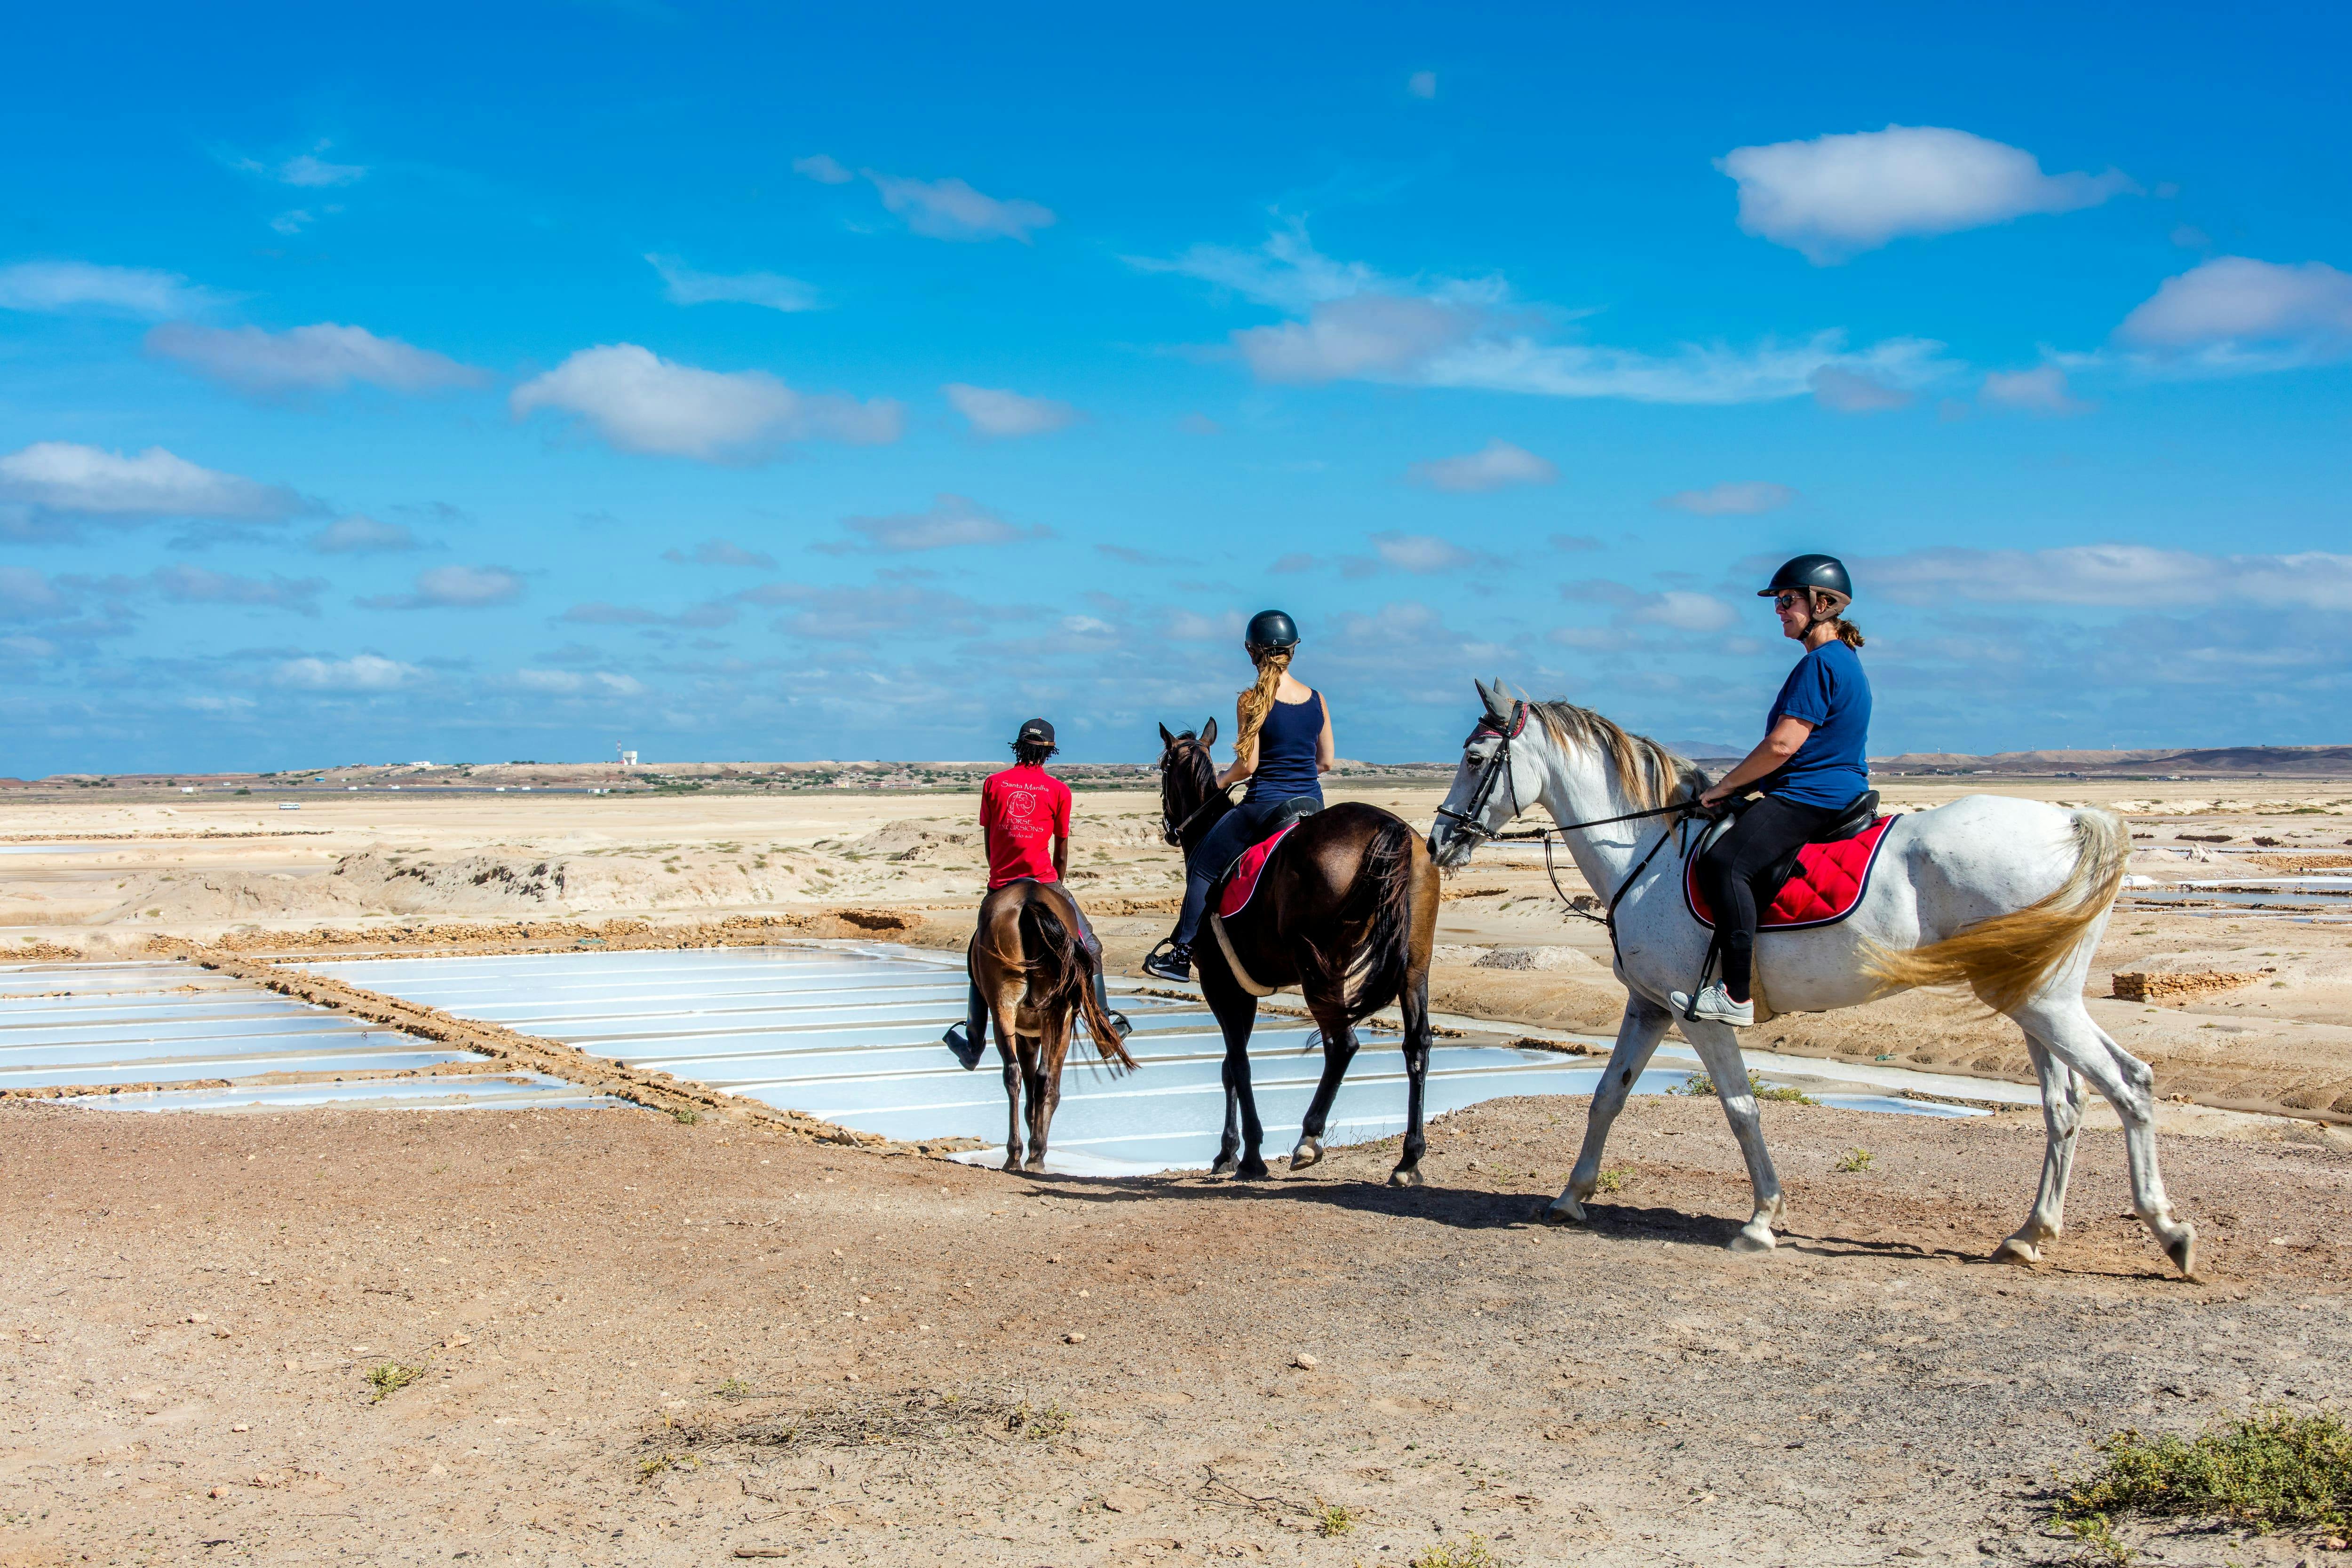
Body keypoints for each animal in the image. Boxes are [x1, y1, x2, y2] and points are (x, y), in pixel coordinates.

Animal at [960, 879, 1134, 1171]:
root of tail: (1028, 899)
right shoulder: (1054, 1030)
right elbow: (1051, 1091)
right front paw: (1037, 1147)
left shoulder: (1028, 1035)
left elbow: (1031, 1091)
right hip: (1055, 1015)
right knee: (1043, 1080)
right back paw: (1034, 1155)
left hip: (1004, 1010)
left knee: (1014, 1076)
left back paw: (1016, 1155)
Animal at [1152, 724, 1430, 1189]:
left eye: (1162, 767)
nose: (1169, 826)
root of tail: (1388, 826)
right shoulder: (1242, 990)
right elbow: (1230, 1067)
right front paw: (1228, 1152)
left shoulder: (1220, 984)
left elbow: (1239, 1065)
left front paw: (1249, 1156)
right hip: (1413, 968)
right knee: (1417, 1046)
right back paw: (1408, 1160)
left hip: (1319, 970)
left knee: (1342, 1045)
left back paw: (1309, 1139)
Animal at [1421, 681, 2192, 1279]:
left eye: (1475, 757)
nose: (1439, 842)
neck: (1649, 852)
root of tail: (2070, 820)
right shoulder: (1648, 1006)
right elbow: (1607, 1096)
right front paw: (1570, 1196)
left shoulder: (1697, 1015)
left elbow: (1740, 1108)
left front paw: (1761, 1219)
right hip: (2028, 999)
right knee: (2066, 1105)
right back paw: (2029, 1236)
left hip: (2041, 1001)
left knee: (2129, 1084)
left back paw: (2170, 1232)